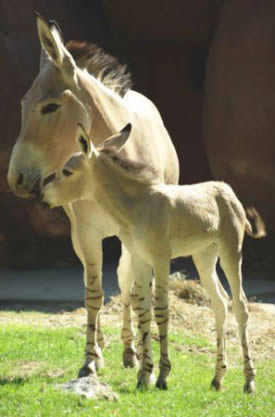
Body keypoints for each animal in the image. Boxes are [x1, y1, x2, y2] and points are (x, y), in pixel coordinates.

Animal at [42, 122, 266, 392]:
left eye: (67, 171)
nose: (41, 196)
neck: (138, 206)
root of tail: (227, 190)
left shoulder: (161, 259)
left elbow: (161, 310)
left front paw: (162, 375)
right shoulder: (139, 258)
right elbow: (144, 310)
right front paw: (144, 373)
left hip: (231, 252)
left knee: (241, 305)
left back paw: (249, 380)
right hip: (204, 257)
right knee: (220, 302)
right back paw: (218, 377)